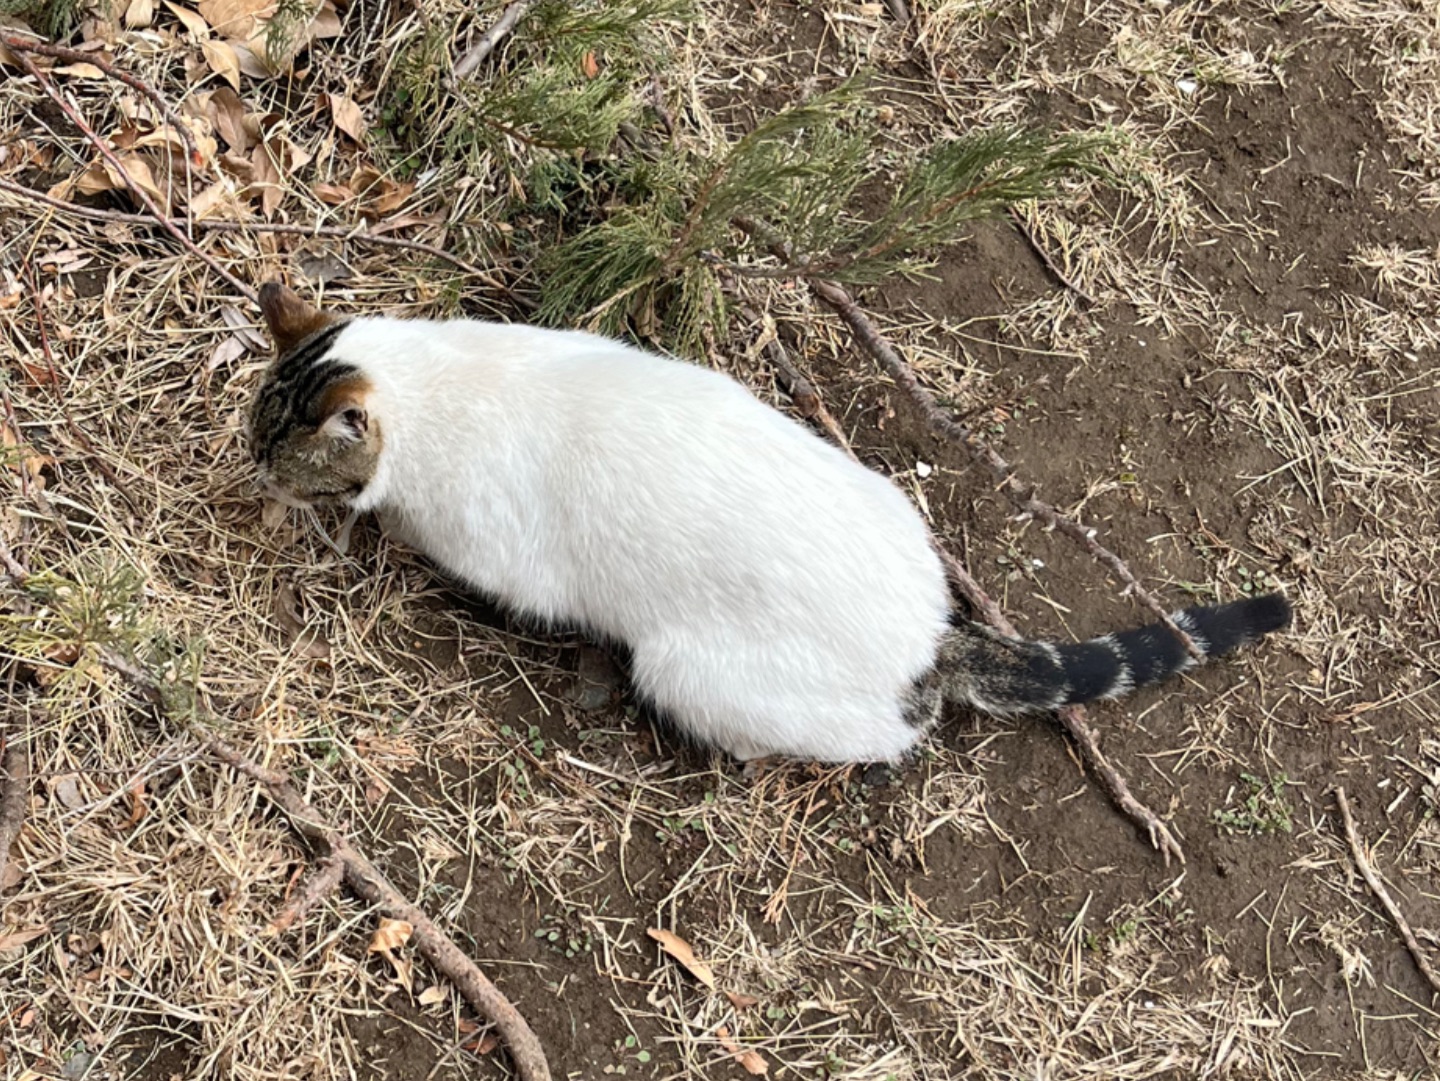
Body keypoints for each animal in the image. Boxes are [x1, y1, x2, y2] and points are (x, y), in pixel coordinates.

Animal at [247, 283, 1296, 765]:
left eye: (274, 451)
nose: (252, 473)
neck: (431, 378)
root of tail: (932, 638)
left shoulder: (500, 558)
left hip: (685, 671)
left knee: (894, 732)